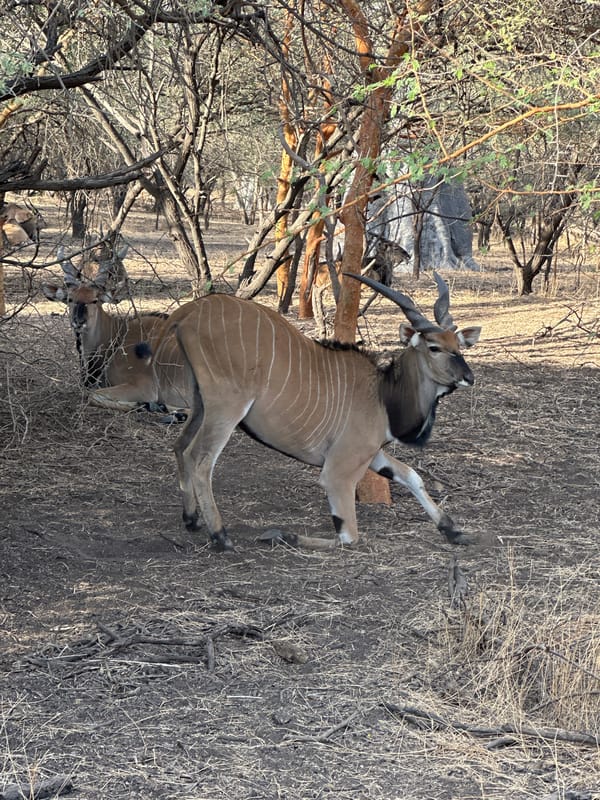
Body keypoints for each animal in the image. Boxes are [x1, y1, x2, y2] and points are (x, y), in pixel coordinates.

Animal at [41, 254, 191, 415]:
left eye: (95, 300)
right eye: (70, 299)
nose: (78, 321)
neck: (117, 337)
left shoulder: (144, 387)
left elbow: (92, 395)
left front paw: (144, 405)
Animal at [155, 272, 480, 551]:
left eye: (459, 344)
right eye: (434, 347)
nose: (469, 377)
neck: (383, 393)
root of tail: (189, 312)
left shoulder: (372, 453)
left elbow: (411, 476)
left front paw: (452, 529)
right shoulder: (338, 472)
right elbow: (348, 537)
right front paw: (280, 534)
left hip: (201, 404)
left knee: (180, 446)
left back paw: (191, 519)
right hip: (226, 408)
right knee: (199, 459)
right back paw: (220, 536)